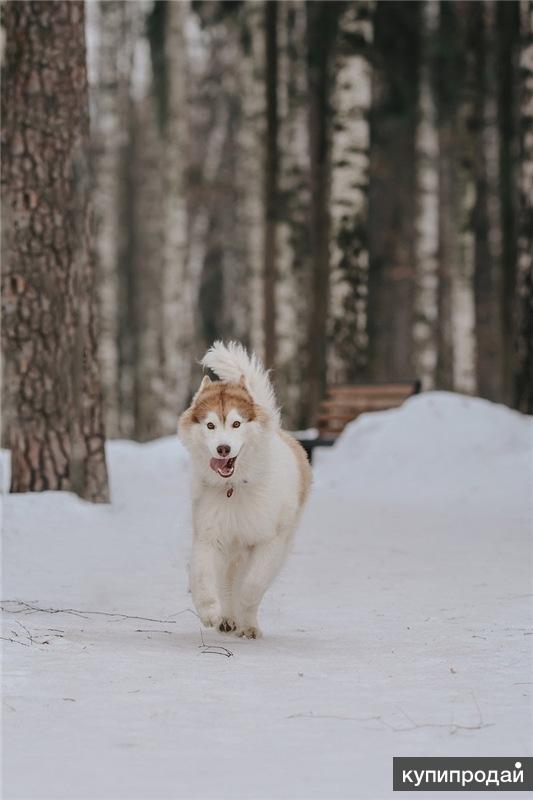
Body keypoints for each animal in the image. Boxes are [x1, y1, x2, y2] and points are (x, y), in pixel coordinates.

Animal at [179, 340, 312, 640]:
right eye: (210, 425)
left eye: (237, 423)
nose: (223, 448)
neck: (234, 487)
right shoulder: (210, 535)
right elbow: (203, 577)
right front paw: (210, 612)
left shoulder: (269, 541)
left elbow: (253, 585)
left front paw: (245, 614)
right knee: (227, 580)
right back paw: (227, 619)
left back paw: (246, 623)